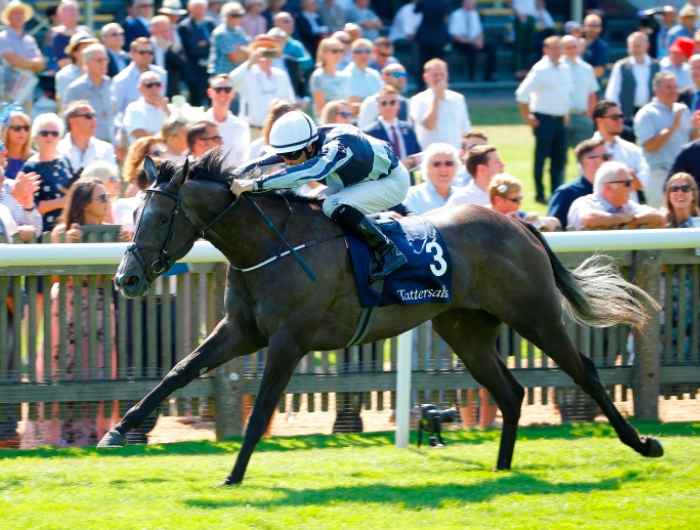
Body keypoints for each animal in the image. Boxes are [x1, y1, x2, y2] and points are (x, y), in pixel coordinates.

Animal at [97, 152, 660, 482]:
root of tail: (518, 224)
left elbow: (260, 411)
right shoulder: (241, 331)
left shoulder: (288, 340)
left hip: (535, 315)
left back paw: (643, 443)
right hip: (465, 329)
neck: (272, 245)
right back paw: (502, 470)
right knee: (511, 392)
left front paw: (234, 474)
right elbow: (179, 371)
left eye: (159, 218)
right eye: (134, 214)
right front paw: (118, 431)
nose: (127, 279)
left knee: (584, 372)